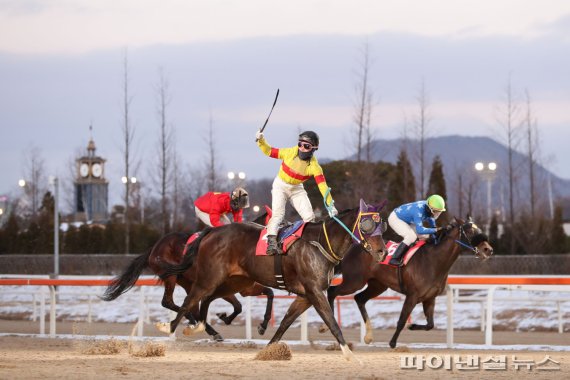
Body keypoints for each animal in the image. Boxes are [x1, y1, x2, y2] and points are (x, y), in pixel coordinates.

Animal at [103, 212, 274, 340]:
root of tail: (154, 247)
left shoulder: (244, 288)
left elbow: (263, 295)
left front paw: (261, 325)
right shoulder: (219, 286)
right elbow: (237, 306)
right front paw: (224, 317)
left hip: (187, 283)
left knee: (189, 305)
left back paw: (203, 326)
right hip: (172, 277)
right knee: (168, 301)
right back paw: (194, 322)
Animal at [156, 200, 386, 360]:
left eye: (382, 225)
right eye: (366, 225)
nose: (382, 252)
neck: (320, 243)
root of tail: (212, 231)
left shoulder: (306, 296)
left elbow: (285, 323)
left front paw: (266, 351)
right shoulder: (314, 291)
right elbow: (331, 322)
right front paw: (350, 355)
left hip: (233, 282)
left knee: (206, 299)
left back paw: (199, 327)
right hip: (210, 277)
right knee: (190, 300)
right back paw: (170, 327)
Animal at [318, 217, 490, 348]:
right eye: (470, 231)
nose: (488, 249)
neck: (434, 261)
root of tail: (353, 248)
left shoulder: (430, 298)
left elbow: (430, 324)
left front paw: (412, 326)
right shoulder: (412, 295)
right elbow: (401, 320)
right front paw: (393, 343)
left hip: (377, 285)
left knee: (359, 298)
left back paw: (368, 336)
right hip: (355, 281)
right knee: (333, 291)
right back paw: (325, 325)